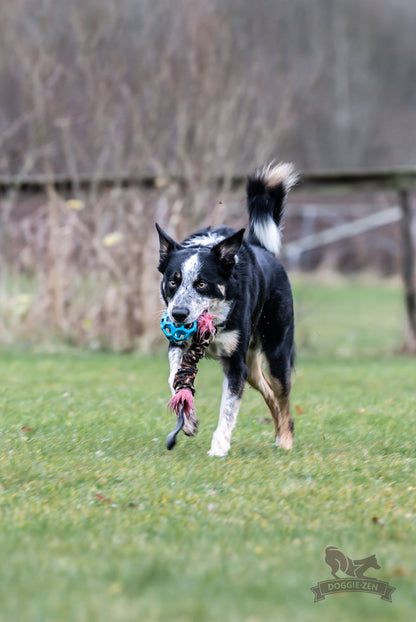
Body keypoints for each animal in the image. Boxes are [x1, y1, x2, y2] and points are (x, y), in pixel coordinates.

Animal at [155, 163, 296, 458]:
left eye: (202, 283)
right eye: (173, 281)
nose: (179, 315)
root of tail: (263, 249)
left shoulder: (235, 366)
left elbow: (228, 409)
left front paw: (219, 446)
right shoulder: (178, 346)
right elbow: (175, 377)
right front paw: (188, 419)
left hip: (276, 353)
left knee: (283, 398)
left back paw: (286, 440)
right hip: (251, 368)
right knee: (269, 394)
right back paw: (278, 436)